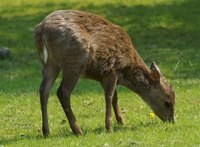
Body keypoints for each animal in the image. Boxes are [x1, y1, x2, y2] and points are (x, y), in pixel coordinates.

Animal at [34, 10, 175, 137]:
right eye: (167, 102)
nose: (172, 120)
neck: (126, 67)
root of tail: (42, 30)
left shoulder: (103, 76)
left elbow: (115, 97)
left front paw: (122, 121)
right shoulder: (112, 70)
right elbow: (109, 96)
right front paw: (109, 127)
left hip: (51, 64)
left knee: (44, 90)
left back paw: (46, 131)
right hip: (74, 62)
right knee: (63, 92)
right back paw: (77, 130)